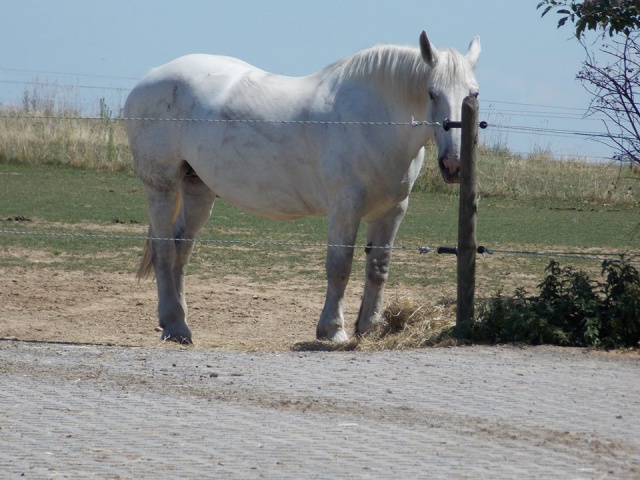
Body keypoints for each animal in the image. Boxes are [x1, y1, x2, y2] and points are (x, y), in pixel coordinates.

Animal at [125, 31, 480, 344]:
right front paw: (332, 330)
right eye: (431, 92)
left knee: (181, 249)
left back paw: (179, 321)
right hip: (161, 186)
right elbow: (340, 265)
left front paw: (370, 326)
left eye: (473, 94)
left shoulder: (392, 209)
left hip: (197, 187)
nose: (454, 164)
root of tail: (148, 79)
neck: (372, 120)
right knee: (164, 250)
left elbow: (378, 267)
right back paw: (175, 326)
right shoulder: (345, 206)